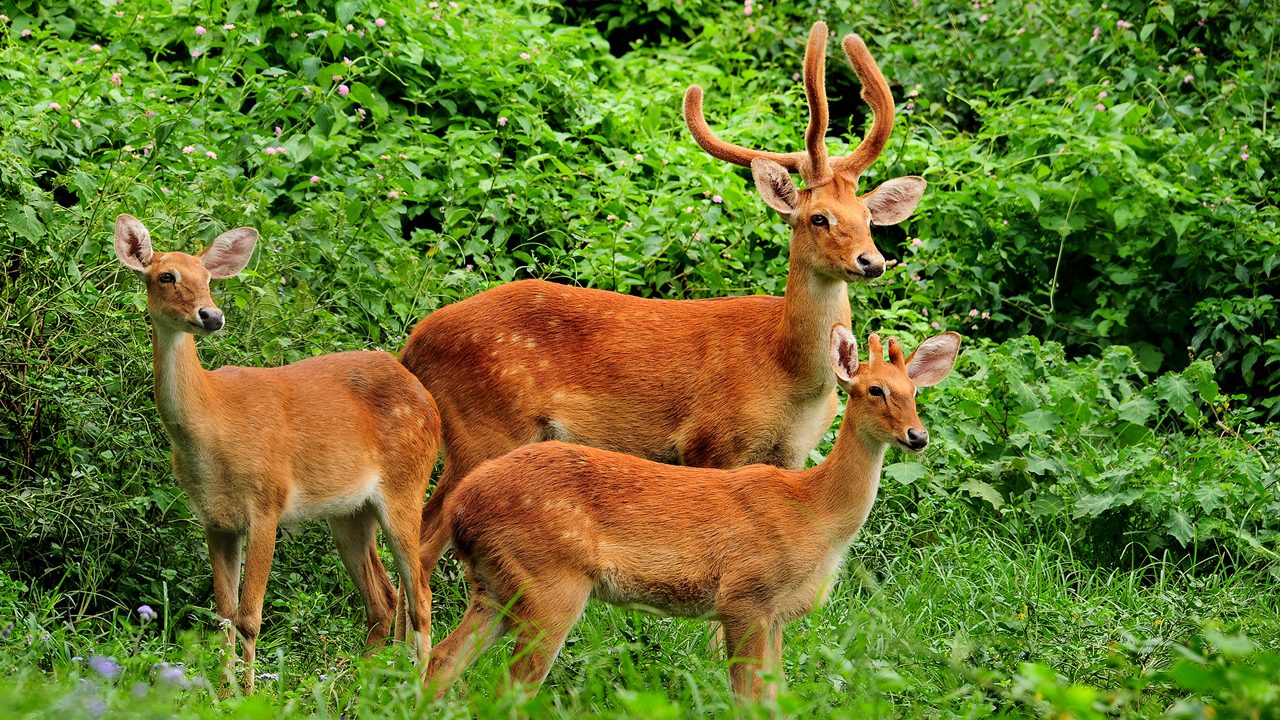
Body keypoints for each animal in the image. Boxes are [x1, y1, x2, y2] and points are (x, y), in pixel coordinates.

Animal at [116, 213, 445, 691]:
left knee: (419, 593)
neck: (213, 429)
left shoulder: (267, 502)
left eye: (208, 279)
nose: (211, 315)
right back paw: (357, 685)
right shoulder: (215, 519)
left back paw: (415, 689)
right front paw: (222, 692)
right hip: (349, 512)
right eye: (166, 276)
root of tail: (427, 398)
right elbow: (223, 615)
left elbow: (249, 617)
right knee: (382, 598)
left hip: (407, 486)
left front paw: (247, 694)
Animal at [394, 19, 926, 632]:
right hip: (482, 427)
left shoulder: (792, 451)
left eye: (868, 219)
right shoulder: (709, 440)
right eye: (818, 217)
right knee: (423, 535)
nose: (872, 261)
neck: (787, 369)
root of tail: (413, 347)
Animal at [424, 327, 957, 696]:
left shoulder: (777, 616)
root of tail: (463, 507)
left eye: (914, 392)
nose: (917, 436)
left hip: (495, 587)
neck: (815, 512)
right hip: (550, 582)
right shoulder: (745, 596)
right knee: (509, 687)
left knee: (445, 661)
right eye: (874, 390)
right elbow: (750, 697)